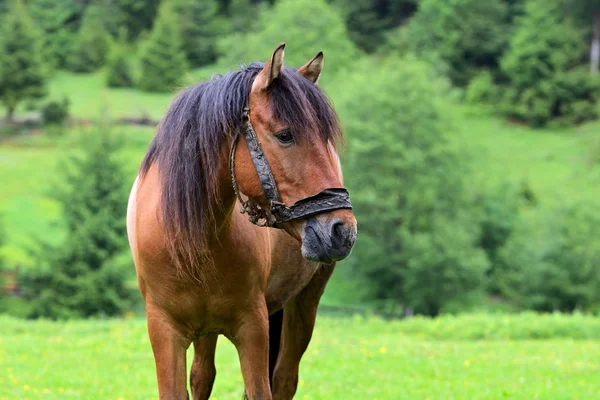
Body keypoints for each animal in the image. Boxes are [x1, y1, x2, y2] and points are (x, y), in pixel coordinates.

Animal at [127, 43, 356, 400]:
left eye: (326, 138)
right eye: (285, 135)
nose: (342, 230)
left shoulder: (253, 328)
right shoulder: (165, 333)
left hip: (304, 303)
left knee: (284, 378)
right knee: (203, 375)